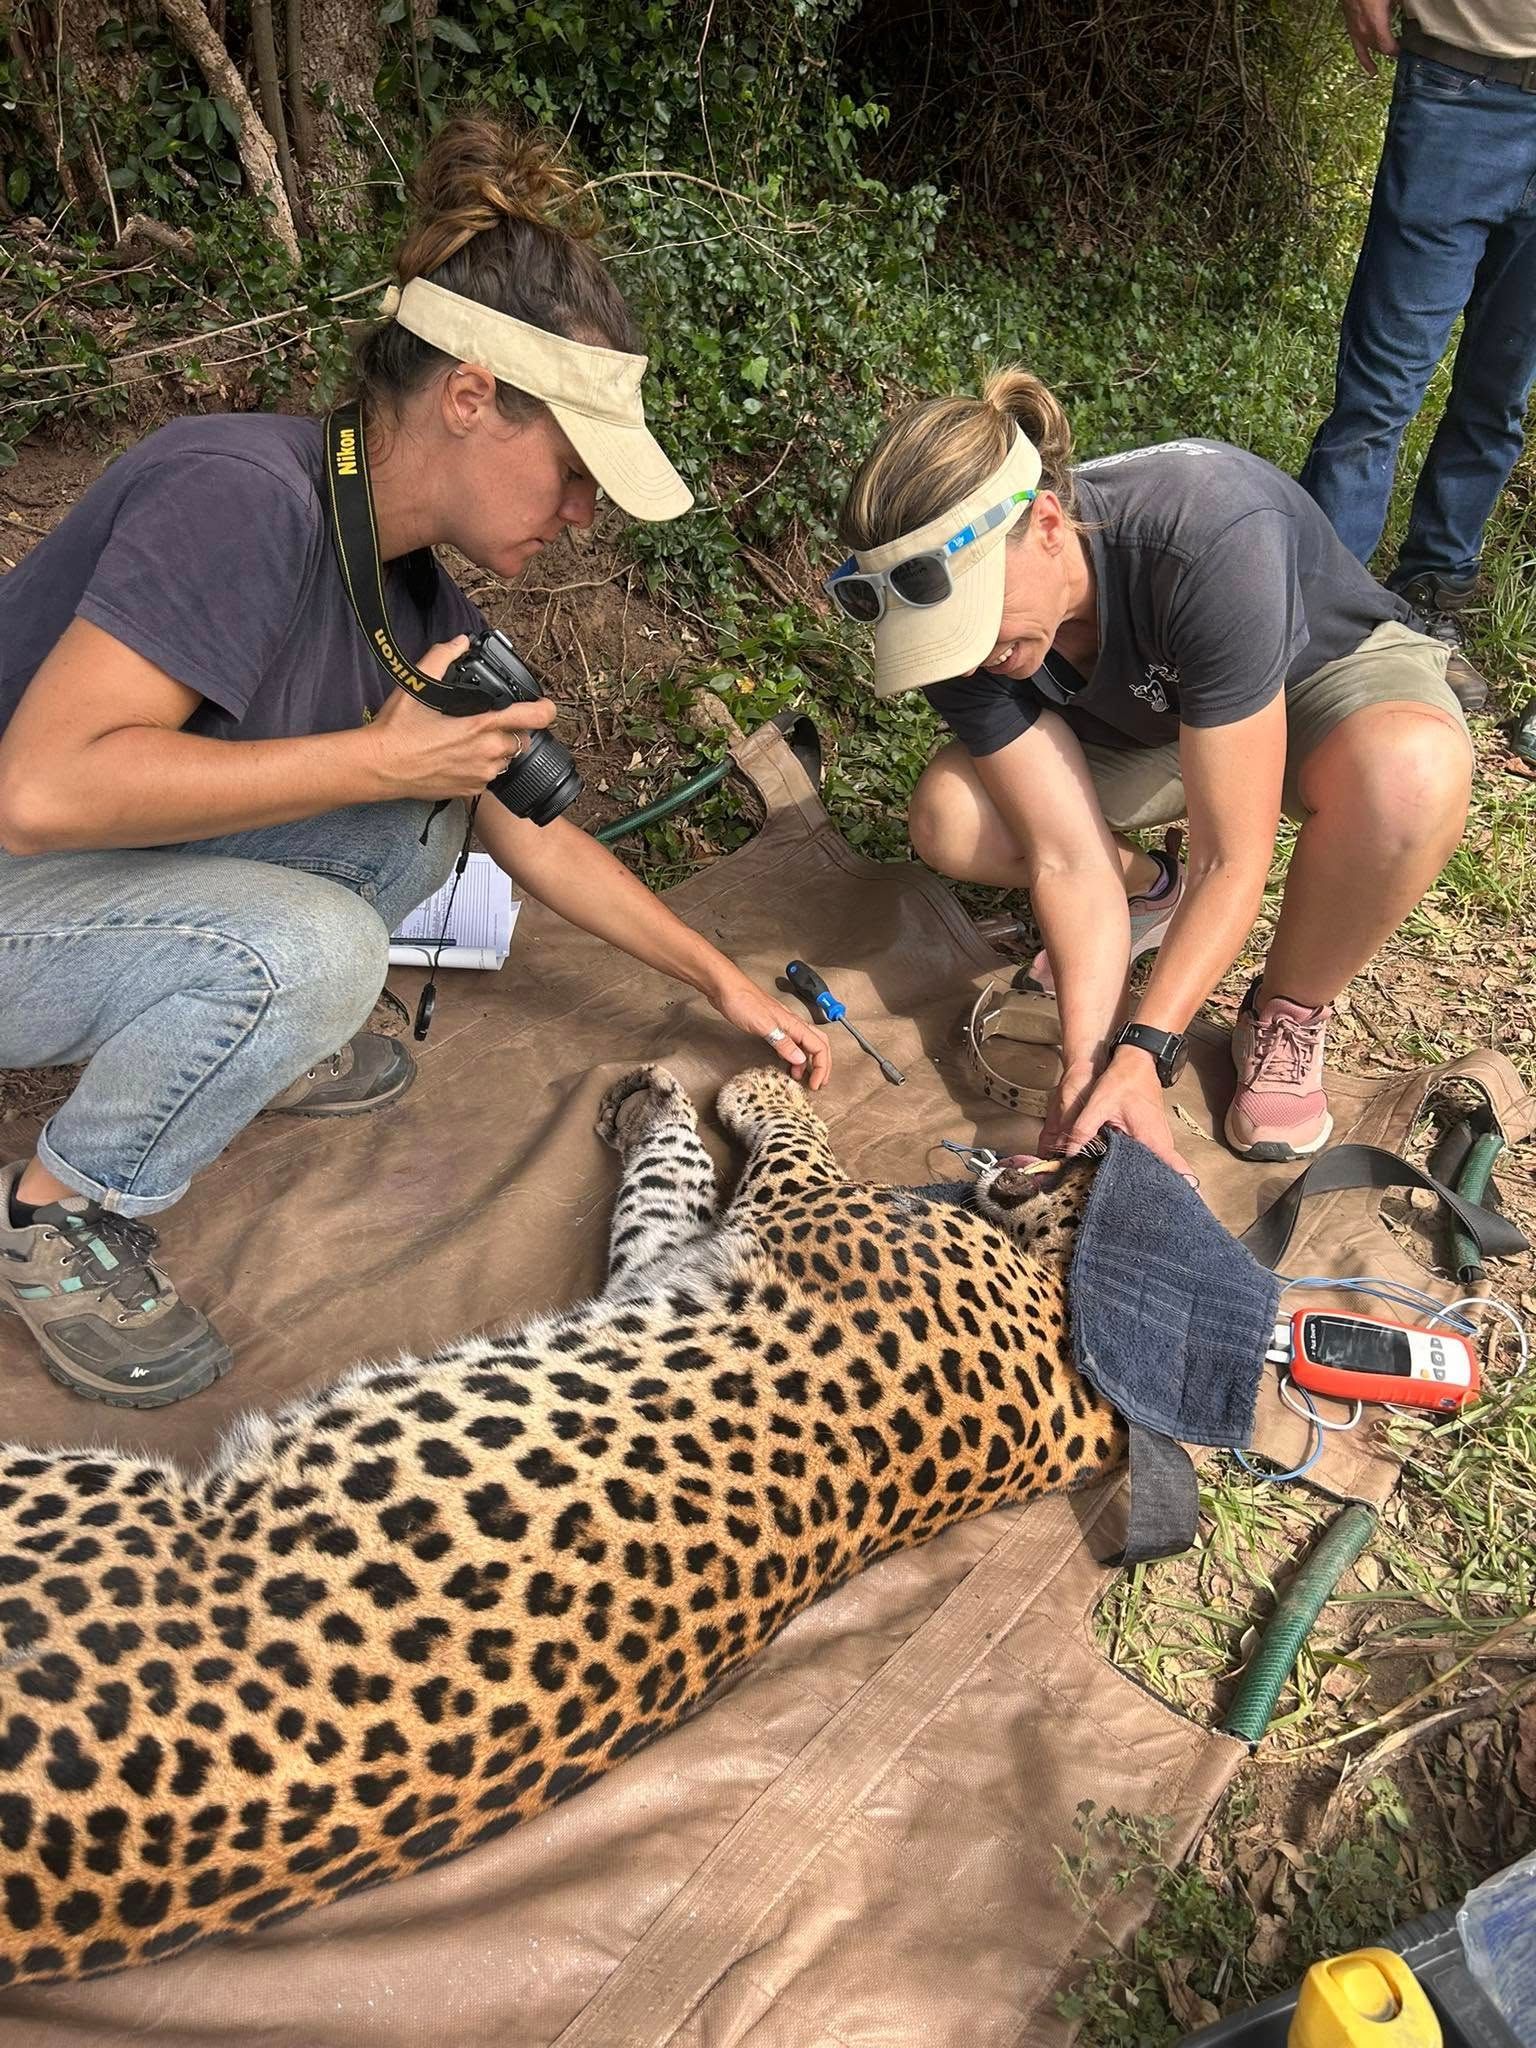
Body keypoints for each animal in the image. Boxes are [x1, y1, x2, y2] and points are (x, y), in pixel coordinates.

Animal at [0, 1064, 1125, 1989]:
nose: (1100, 1122)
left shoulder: (809, 1206)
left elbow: (797, 1139)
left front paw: (755, 1082)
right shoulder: (666, 1260)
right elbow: (666, 1188)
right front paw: (657, 1106)